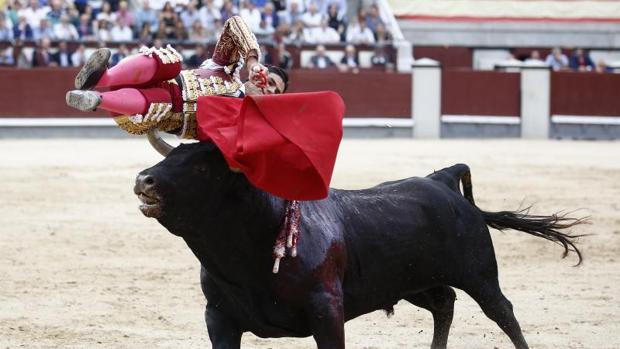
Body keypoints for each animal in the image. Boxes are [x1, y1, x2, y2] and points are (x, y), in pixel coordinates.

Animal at [133, 133, 584, 348]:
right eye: (172, 155)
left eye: (203, 167)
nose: (144, 180)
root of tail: (440, 179)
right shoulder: (219, 318)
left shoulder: (327, 312)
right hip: (411, 283)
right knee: (444, 303)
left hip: (479, 274)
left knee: (503, 313)